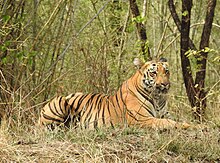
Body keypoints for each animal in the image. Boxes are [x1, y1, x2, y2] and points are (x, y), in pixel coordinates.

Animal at [38, 58, 190, 129]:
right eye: (153, 73)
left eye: (166, 71)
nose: (165, 84)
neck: (158, 98)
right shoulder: (141, 119)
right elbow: (169, 122)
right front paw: (191, 126)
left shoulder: (163, 113)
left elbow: (172, 120)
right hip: (60, 101)